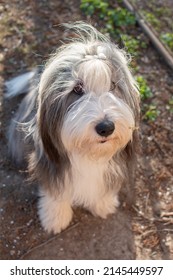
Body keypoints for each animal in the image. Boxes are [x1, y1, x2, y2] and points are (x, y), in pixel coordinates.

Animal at [5, 21, 141, 233]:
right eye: (77, 89)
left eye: (113, 85)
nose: (106, 127)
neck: (89, 153)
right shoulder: (50, 162)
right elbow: (56, 191)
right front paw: (55, 217)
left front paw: (103, 204)